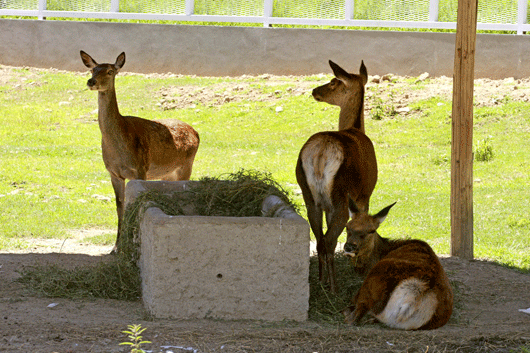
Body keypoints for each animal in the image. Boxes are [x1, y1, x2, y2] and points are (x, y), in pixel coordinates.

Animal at [79, 50, 199, 253]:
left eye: (110, 71)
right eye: (93, 69)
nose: (91, 81)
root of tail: (196, 133)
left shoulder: (140, 168)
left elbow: (133, 204)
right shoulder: (114, 173)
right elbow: (119, 206)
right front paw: (115, 247)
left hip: (186, 165)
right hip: (168, 173)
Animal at [292, 59, 376, 292]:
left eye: (333, 82)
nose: (314, 90)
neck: (356, 129)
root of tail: (321, 153)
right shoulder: (364, 195)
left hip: (309, 196)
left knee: (319, 239)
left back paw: (322, 281)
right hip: (341, 196)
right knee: (328, 241)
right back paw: (334, 287)